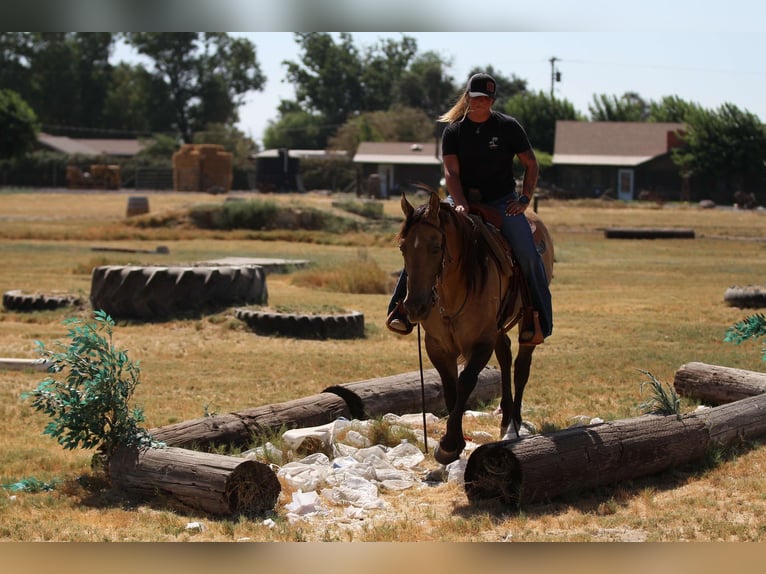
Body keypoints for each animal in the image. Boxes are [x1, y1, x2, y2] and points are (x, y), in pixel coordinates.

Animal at [397, 190, 554, 465]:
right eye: (402, 247)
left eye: (435, 247)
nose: (415, 307)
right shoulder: (437, 345)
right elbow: (450, 388)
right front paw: (454, 441)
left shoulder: (482, 341)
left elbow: (466, 382)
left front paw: (449, 445)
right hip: (498, 329)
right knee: (505, 356)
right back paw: (505, 417)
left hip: (526, 325)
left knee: (521, 366)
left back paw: (515, 421)